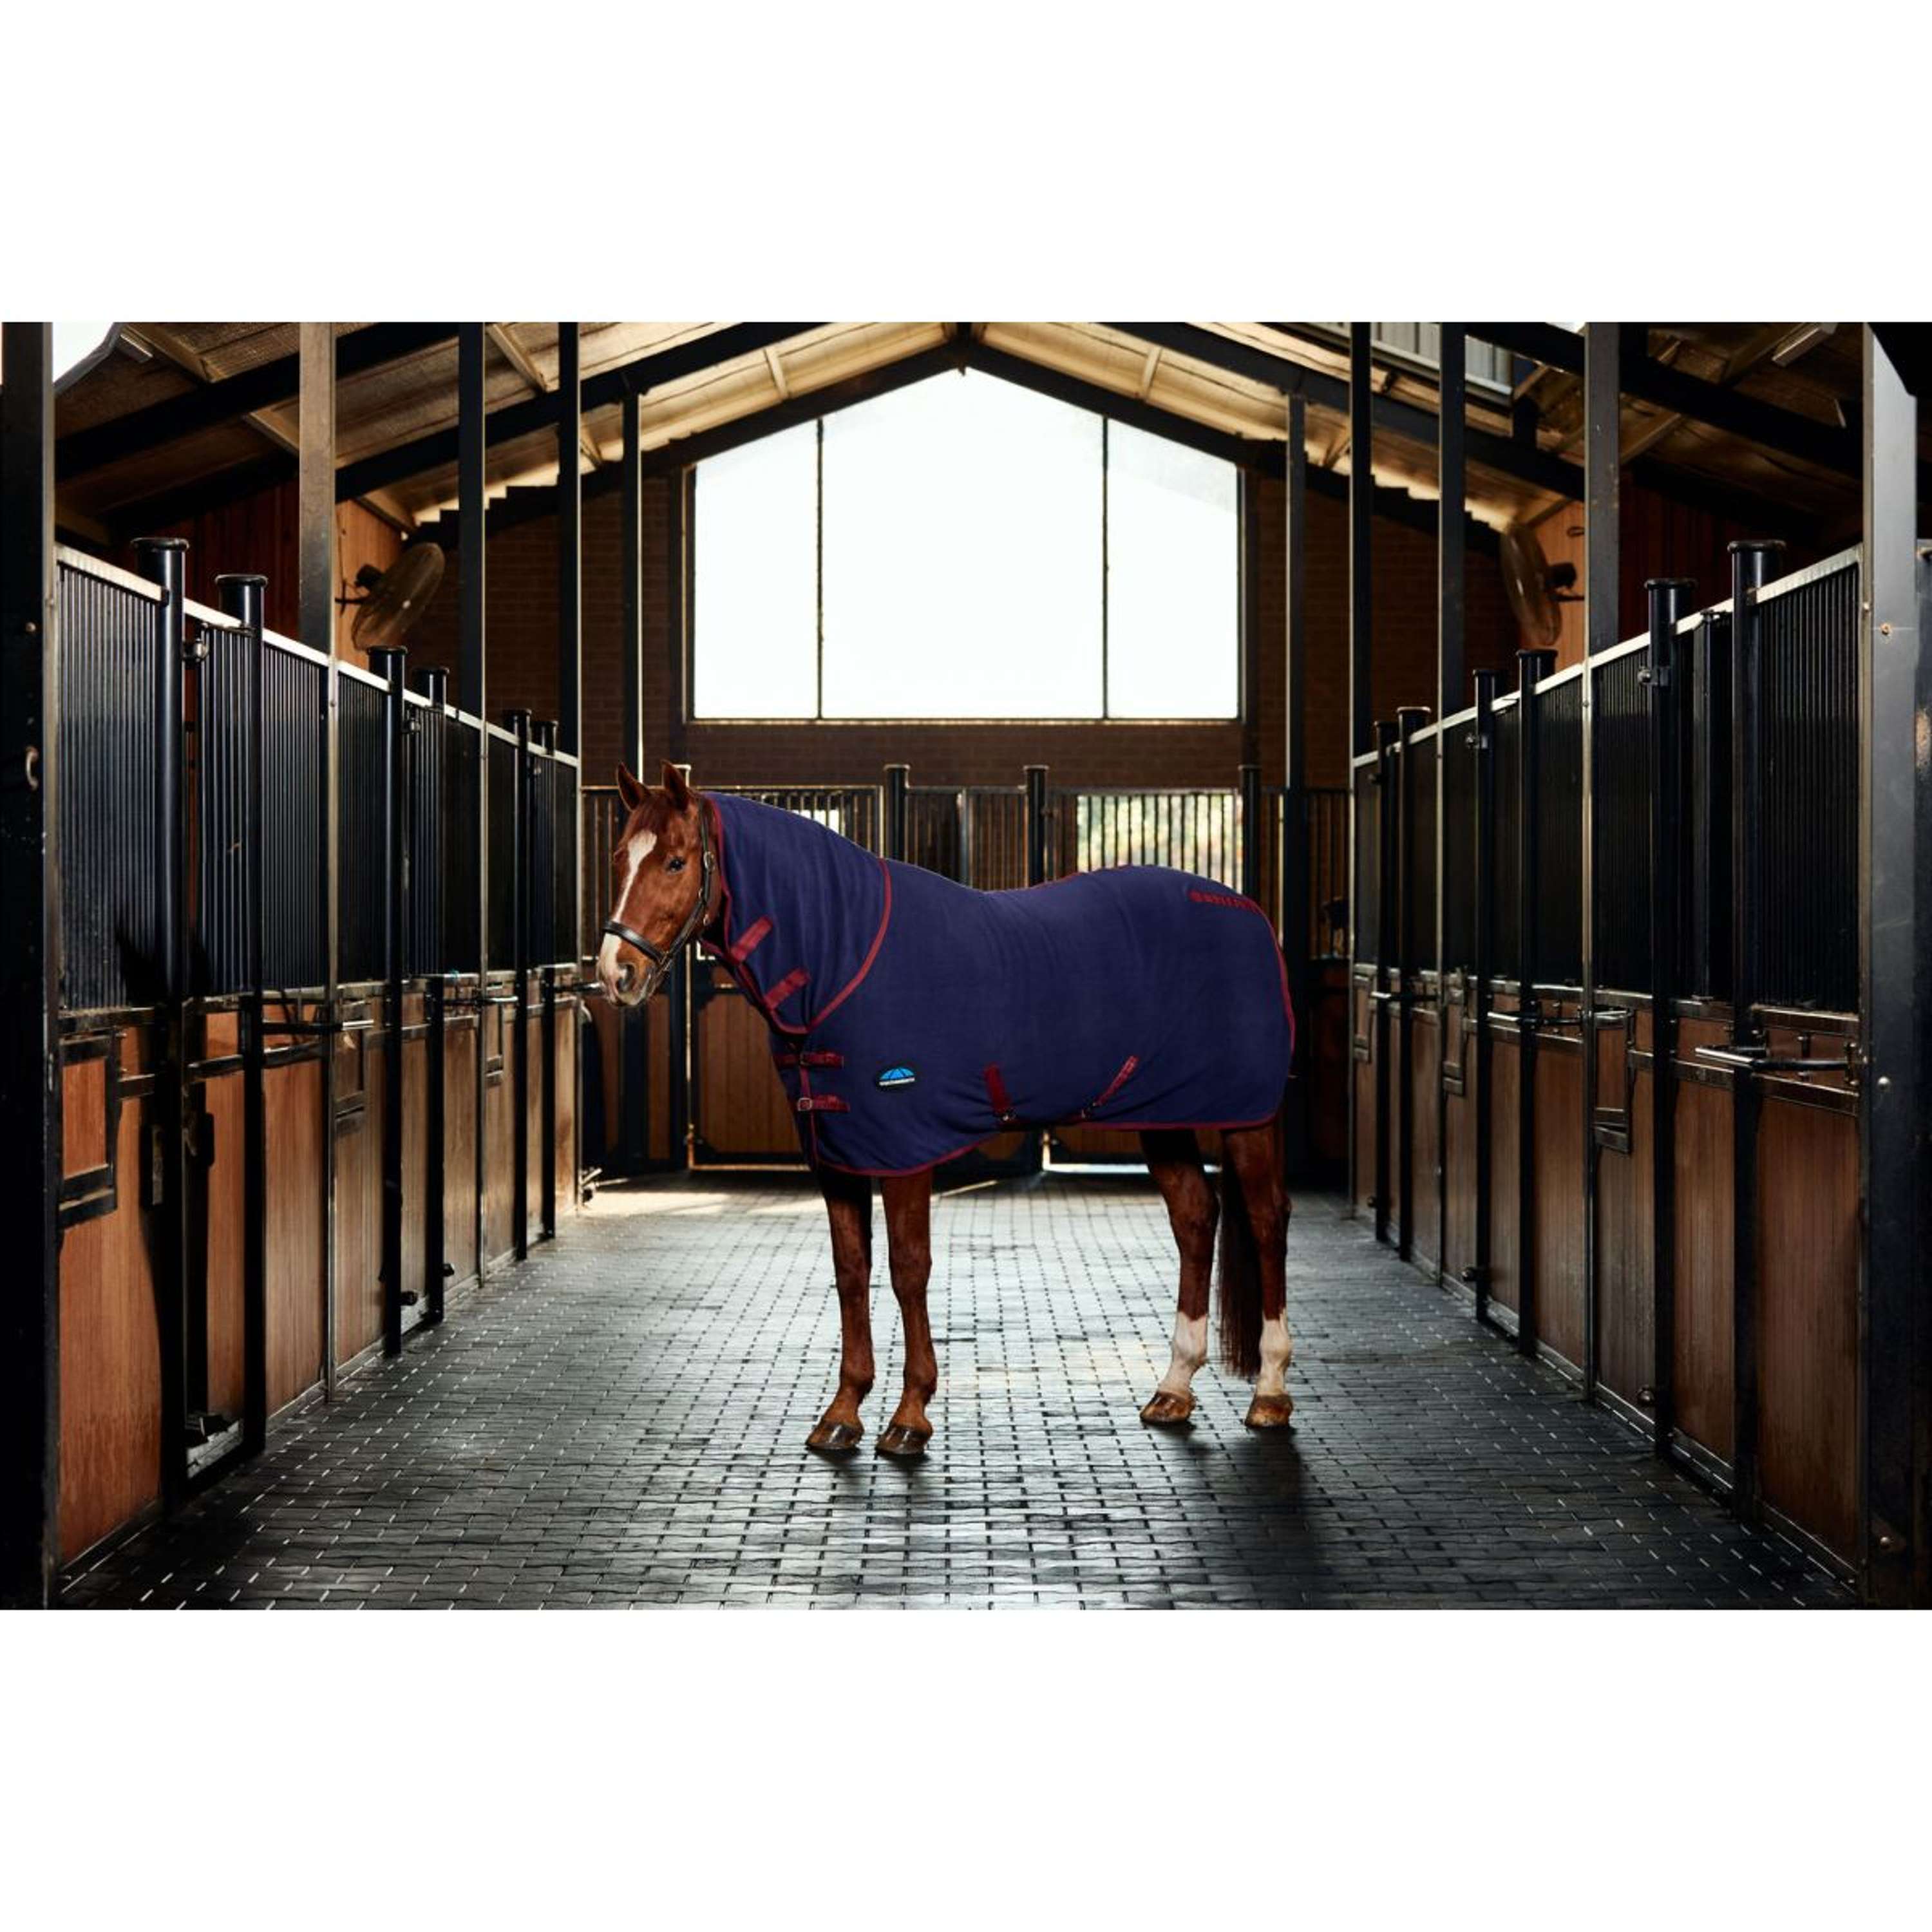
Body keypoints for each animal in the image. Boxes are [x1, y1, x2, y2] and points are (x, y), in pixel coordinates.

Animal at [596, 761, 1297, 1461]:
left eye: (676, 862)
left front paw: (910, 1416)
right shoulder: (837, 1151)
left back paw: (1269, 1393)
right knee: (1195, 1219)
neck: (841, 955)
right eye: (619, 858)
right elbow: (851, 1271)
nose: (615, 973)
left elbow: (909, 1269)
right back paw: (1174, 1390)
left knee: (1266, 1221)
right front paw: (842, 1413)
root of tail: (1249, 914)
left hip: (1247, 1116)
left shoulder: (905, 1147)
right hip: (1161, 1117)